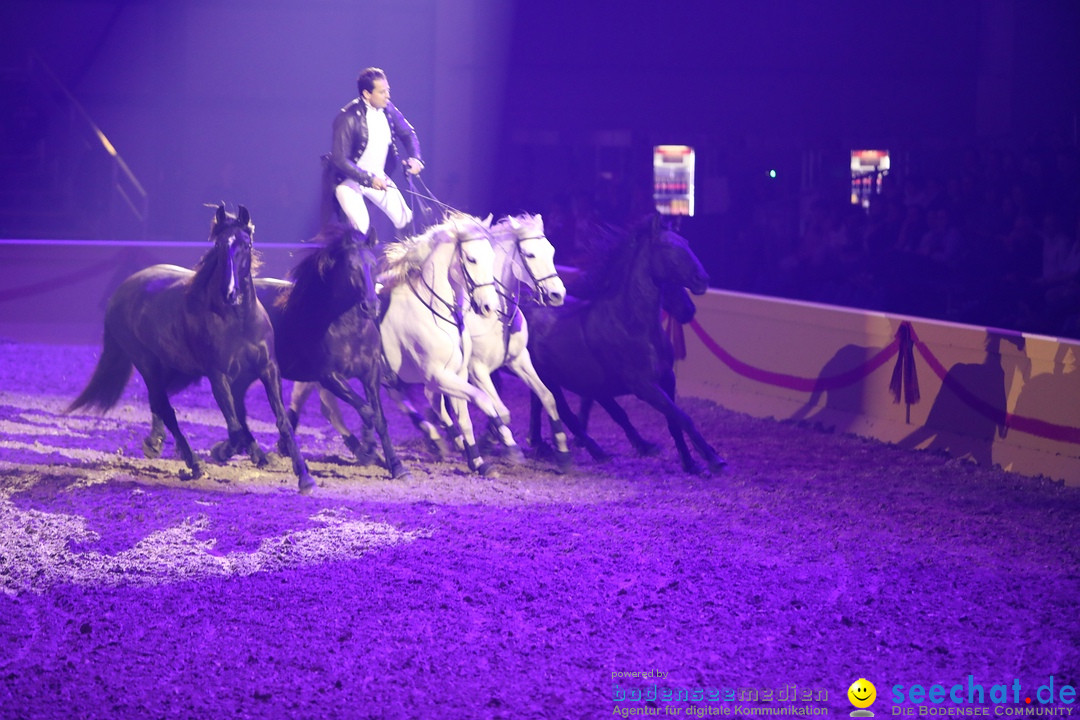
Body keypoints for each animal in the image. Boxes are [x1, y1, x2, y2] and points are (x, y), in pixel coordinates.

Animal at [67, 205, 315, 492]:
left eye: (247, 243)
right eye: (219, 245)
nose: (231, 293)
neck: (239, 322)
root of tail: (121, 292)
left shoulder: (267, 370)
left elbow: (279, 421)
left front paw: (304, 476)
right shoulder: (219, 376)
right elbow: (235, 427)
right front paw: (222, 451)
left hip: (172, 369)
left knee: (158, 402)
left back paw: (156, 443)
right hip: (148, 365)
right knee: (166, 409)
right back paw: (193, 463)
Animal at [252, 220, 408, 479]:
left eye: (373, 265)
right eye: (351, 267)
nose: (371, 306)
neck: (350, 332)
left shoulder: (371, 374)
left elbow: (379, 417)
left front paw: (397, 466)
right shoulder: (329, 377)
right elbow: (367, 411)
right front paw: (367, 448)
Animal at [522, 216, 725, 474]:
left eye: (686, 243)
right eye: (668, 247)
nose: (703, 280)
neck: (632, 326)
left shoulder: (667, 379)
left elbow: (674, 422)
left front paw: (690, 464)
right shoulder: (643, 387)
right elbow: (681, 417)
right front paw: (713, 459)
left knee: (542, 406)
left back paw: (544, 445)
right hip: (550, 380)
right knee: (563, 413)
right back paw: (596, 452)